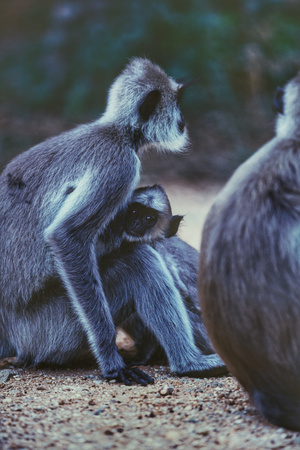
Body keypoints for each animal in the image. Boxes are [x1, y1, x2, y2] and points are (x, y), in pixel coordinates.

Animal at [0, 58, 224, 384]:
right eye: (177, 103)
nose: (183, 122)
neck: (117, 131)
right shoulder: (121, 164)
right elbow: (67, 236)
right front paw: (112, 362)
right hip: (48, 332)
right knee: (139, 261)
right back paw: (189, 363)